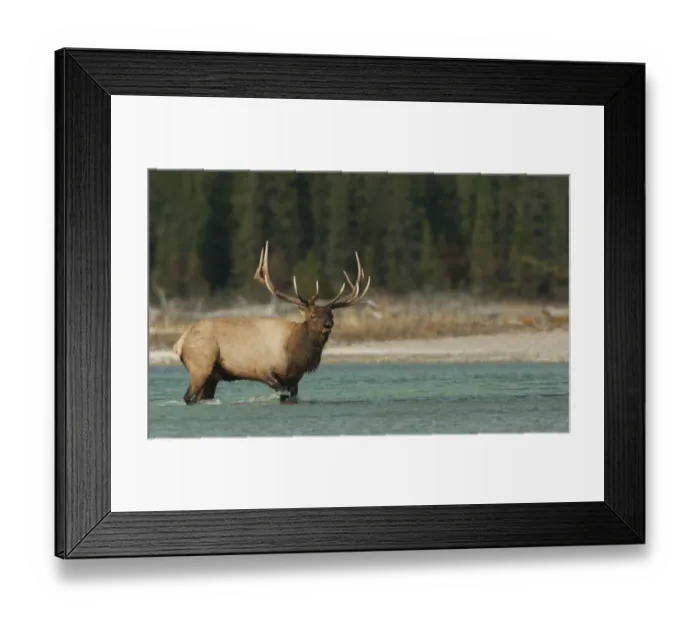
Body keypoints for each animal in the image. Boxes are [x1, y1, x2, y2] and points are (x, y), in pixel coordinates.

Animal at [172, 241, 371, 405]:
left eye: (331, 314)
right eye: (313, 315)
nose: (328, 324)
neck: (295, 355)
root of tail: (180, 342)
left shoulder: (294, 380)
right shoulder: (263, 369)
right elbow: (279, 392)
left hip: (212, 375)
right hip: (201, 363)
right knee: (189, 396)